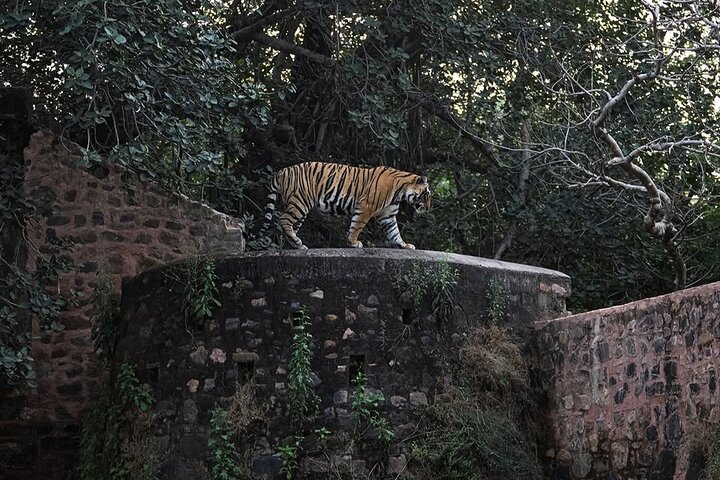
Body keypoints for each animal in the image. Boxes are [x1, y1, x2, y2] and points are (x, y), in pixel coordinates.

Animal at [260, 162, 431, 250]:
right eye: (426, 195)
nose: (428, 208)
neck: (400, 192)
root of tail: (281, 171)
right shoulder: (366, 206)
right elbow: (357, 226)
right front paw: (353, 242)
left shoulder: (387, 215)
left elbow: (394, 232)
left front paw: (405, 245)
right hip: (300, 202)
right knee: (283, 220)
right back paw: (297, 243)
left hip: (299, 207)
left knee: (289, 225)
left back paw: (297, 244)